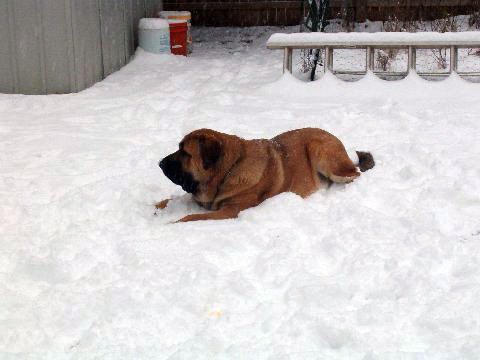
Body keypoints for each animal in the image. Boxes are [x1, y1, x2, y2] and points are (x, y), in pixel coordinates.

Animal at [158, 126, 376, 222]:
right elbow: (171, 200)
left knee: (356, 173)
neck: (230, 168)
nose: (159, 163)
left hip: (320, 151)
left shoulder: (230, 210)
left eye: (184, 152)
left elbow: (190, 217)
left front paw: (169, 222)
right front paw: (158, 207)